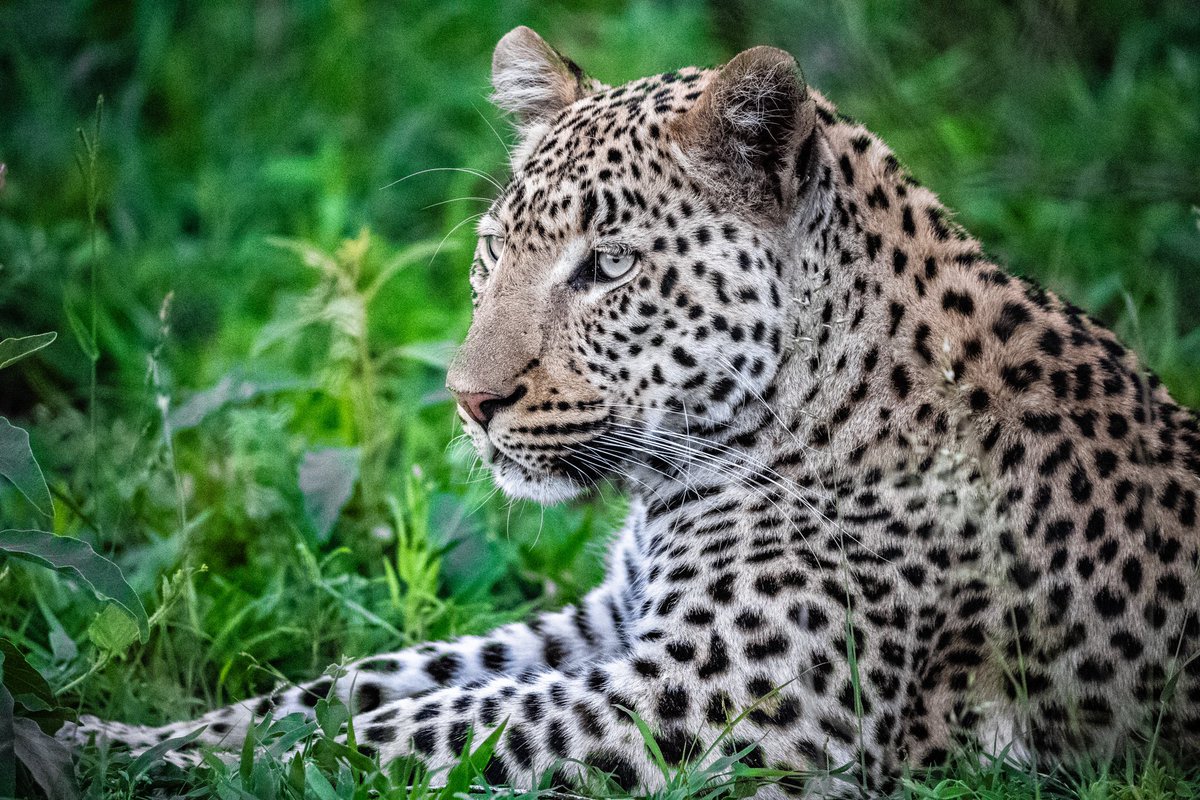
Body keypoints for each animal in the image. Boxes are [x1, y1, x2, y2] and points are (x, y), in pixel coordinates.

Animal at [64, 26, 1200, 797]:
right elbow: (363, 681)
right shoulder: (606, 623)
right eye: (495, 249)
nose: (469, 399)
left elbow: (407, 727)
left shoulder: (712, 707)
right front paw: (114, 739)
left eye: (607, 267)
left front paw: (178, 773)